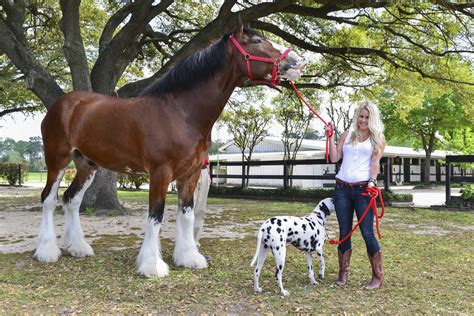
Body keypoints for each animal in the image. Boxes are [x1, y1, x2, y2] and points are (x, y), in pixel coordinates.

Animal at [36, 19, 304, 278]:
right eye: (257, 41)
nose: (297, 62)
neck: (181, 112)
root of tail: (64, 104)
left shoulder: (191, 174)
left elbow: (186, 215)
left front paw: (189, 258)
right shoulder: (160, 173)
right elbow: (156, 216)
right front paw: (152, 265)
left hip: (86, 164)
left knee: (71, 200)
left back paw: (77, 248)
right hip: (58, 160)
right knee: (49, 199)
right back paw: (47, 251)